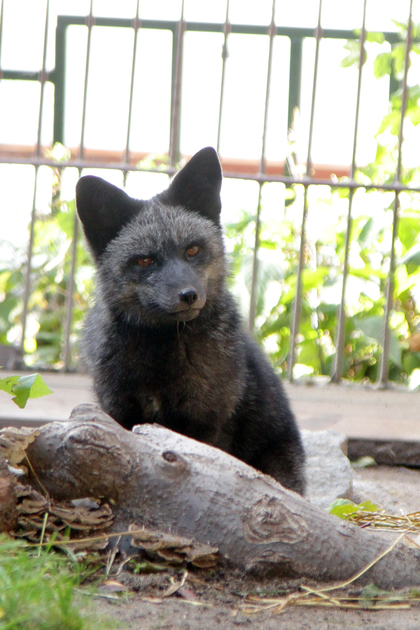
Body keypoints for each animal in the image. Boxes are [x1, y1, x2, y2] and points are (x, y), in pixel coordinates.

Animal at [75, 147, 306, 494]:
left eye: (193, 250)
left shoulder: (205, 421)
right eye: (145, 260)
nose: (189, 295)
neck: (162, 354)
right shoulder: (118, 411)